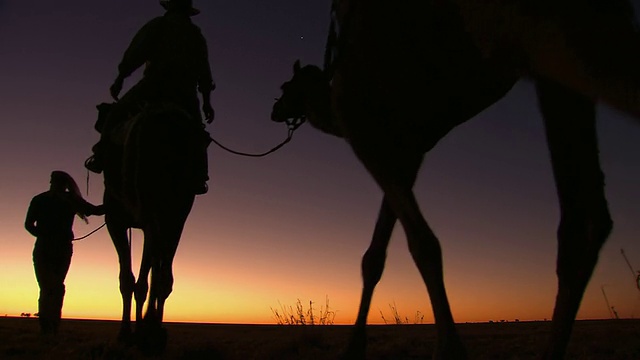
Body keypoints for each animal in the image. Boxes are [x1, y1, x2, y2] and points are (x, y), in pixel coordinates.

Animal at [101, 103, 200, 352]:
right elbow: (139, 277)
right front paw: (138, 330)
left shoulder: (115, 220)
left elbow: (129, 279)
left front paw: (128, 332)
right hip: (173, 211)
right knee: (163, 268)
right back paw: (152, 329)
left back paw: (150, 330)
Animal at [272, 1, 640, 358]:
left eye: (285, 86)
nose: (274, 109)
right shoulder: (406, 154)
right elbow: (375, 256)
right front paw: (354, 347)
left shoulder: (365, 135)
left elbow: (423, 244)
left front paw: (450, 349)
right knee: (587, 219)